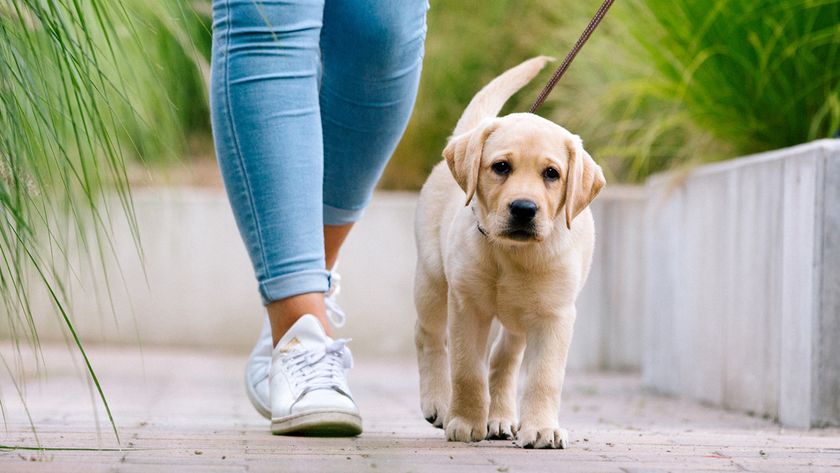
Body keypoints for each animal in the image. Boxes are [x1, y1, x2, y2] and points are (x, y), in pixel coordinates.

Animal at [414, 55, 604, 446]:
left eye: (552, 174)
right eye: (501, 167)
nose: (524, 208)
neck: (511, 254)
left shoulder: (554, 316)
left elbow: (543, 377)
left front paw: (542, 428)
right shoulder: (467, 306)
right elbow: (467, 370)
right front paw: (465, 422)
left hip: (518, 320)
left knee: (504, 359)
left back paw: (499, 419)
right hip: (431, 278)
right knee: (429, 337)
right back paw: (439, 402)